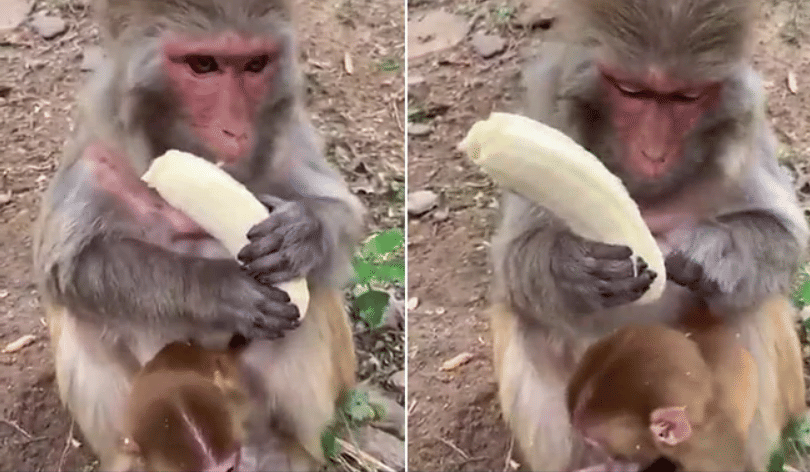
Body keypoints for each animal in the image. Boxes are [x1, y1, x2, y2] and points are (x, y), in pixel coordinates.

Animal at [32, 0, 364, 470]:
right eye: (203, 65)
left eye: (255, 64)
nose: (235, 131)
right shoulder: (95, 153)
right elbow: (68, 266)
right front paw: (220, 289)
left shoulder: (289, 135)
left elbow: (345, 215)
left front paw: (302, 234)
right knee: (84, 315)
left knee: (312, 298)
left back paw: (286, 450)